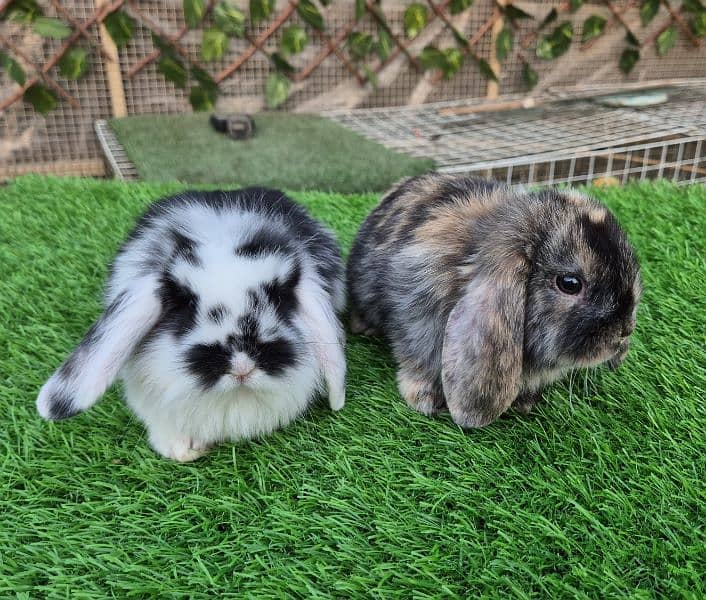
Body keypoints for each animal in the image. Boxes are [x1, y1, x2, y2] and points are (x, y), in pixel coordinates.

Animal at [346, 172, 640, 426]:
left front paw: (526, 401)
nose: (624, 331)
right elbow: (418, 361)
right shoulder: (417, 320)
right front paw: (426, 402)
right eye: (570, 284)